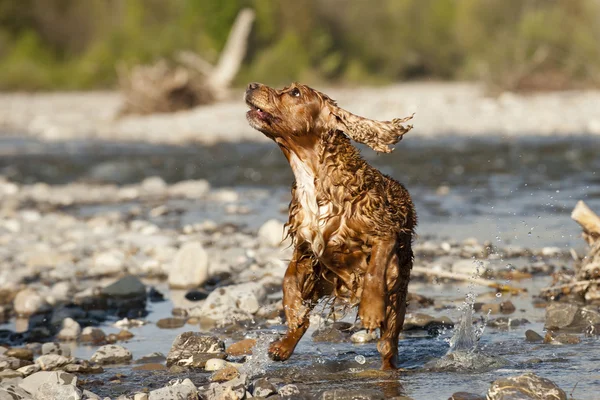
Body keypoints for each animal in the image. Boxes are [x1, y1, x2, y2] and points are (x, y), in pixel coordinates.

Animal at [244, 83, 418, 370]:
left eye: (295, 93)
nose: (251, 86)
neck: (311, 177)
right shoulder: (306, 247)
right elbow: (288, 280)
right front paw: (293, 311)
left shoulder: (385, 232)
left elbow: (374, 270)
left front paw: (371, 310)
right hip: (322, 279)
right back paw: (283, 346)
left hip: (396, 300)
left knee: (387, 346)